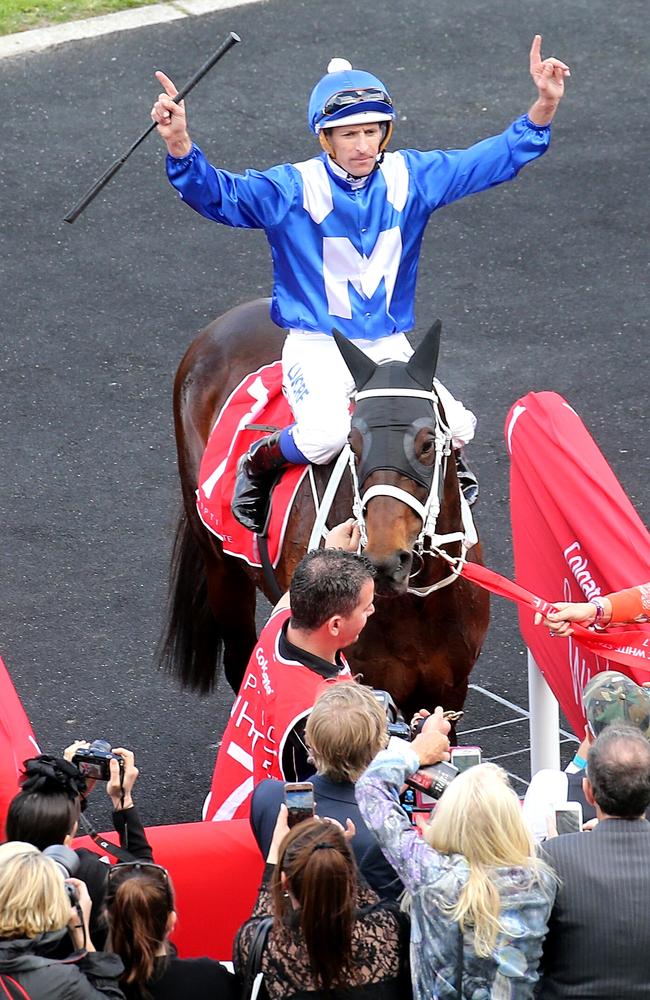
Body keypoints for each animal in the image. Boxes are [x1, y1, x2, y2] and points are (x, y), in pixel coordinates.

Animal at [161, 296, 486, 720]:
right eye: (353, 441)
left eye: (428, 443)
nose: (385, 562)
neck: (416, 604)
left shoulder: (448, 689)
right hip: (222, 570)